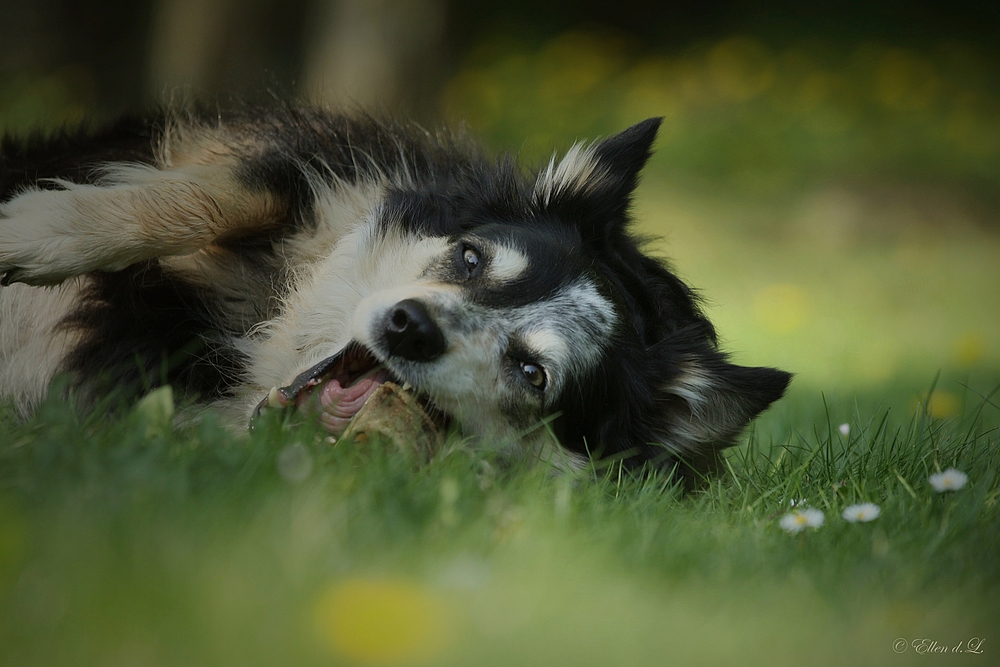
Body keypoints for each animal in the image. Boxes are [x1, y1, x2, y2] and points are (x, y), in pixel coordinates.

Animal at [3, 103, 792, 480]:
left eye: (532, 373)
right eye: (470, 259)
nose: (409, 324)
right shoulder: (308, 172)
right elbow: (210, 196)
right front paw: (33, 233)